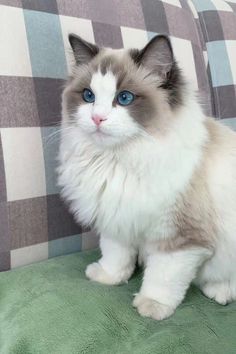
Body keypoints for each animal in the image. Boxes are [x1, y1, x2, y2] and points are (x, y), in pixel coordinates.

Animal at [57, 34, 236, 320]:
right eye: (88, 96)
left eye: (124, 98)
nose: (97, 118)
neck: (119, 159)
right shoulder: (116, 218)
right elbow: (116, 256)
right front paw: (108, 278)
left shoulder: (179, 239)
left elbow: (162, 277)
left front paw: (152, 307)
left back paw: (220, 292)